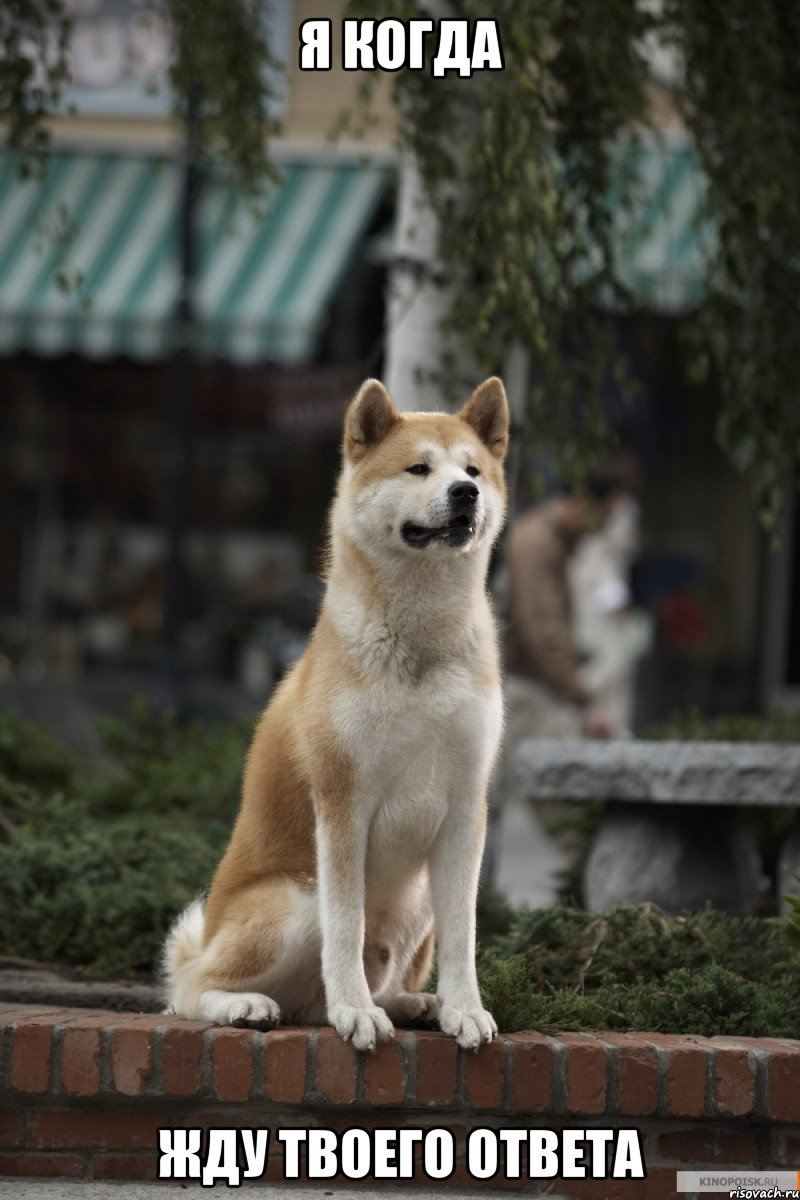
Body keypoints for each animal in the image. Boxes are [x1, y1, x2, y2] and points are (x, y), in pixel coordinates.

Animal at [163, 374, 510, 1051]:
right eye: (418, 468)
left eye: (473, 469)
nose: (466, 493)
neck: (420, 643)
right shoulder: (343, 800)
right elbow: (345, 928)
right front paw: (355, 1011)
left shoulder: (466, 806)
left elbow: (465, 935)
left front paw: (464, 1008)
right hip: (296, 900)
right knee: (189, 990)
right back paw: (250, 1005)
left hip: (416, 900)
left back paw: (414, 1003)